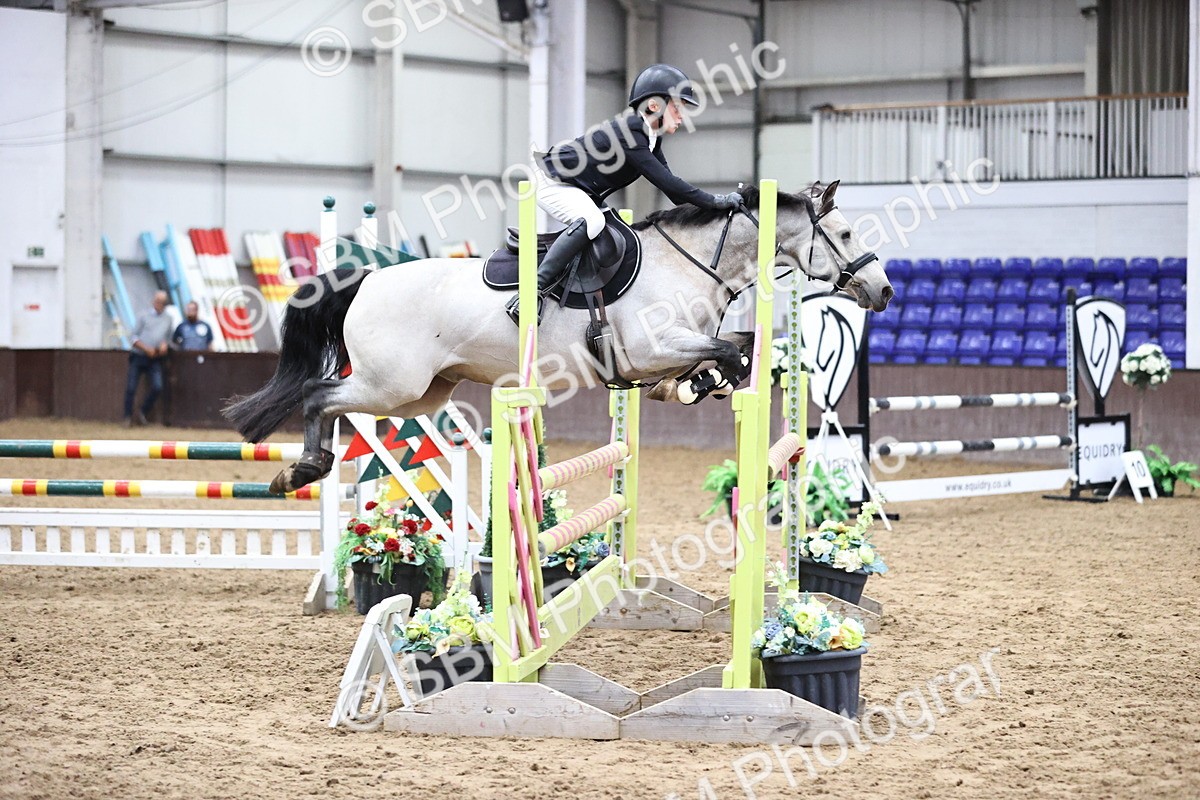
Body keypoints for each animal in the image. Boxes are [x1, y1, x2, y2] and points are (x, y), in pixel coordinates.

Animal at [223, 180, 894, 494]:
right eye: (846, 234)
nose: (883, 290)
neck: (690, 261)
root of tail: (367, 277)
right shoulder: (649, 348)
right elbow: (728, 351)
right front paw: (702, 382)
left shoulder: (667, 349)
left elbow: (738, 345)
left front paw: (689, 386)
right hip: (393, 385)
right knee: (317, 396)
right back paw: (301, 470)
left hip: (422, 393)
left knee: (334, 401)